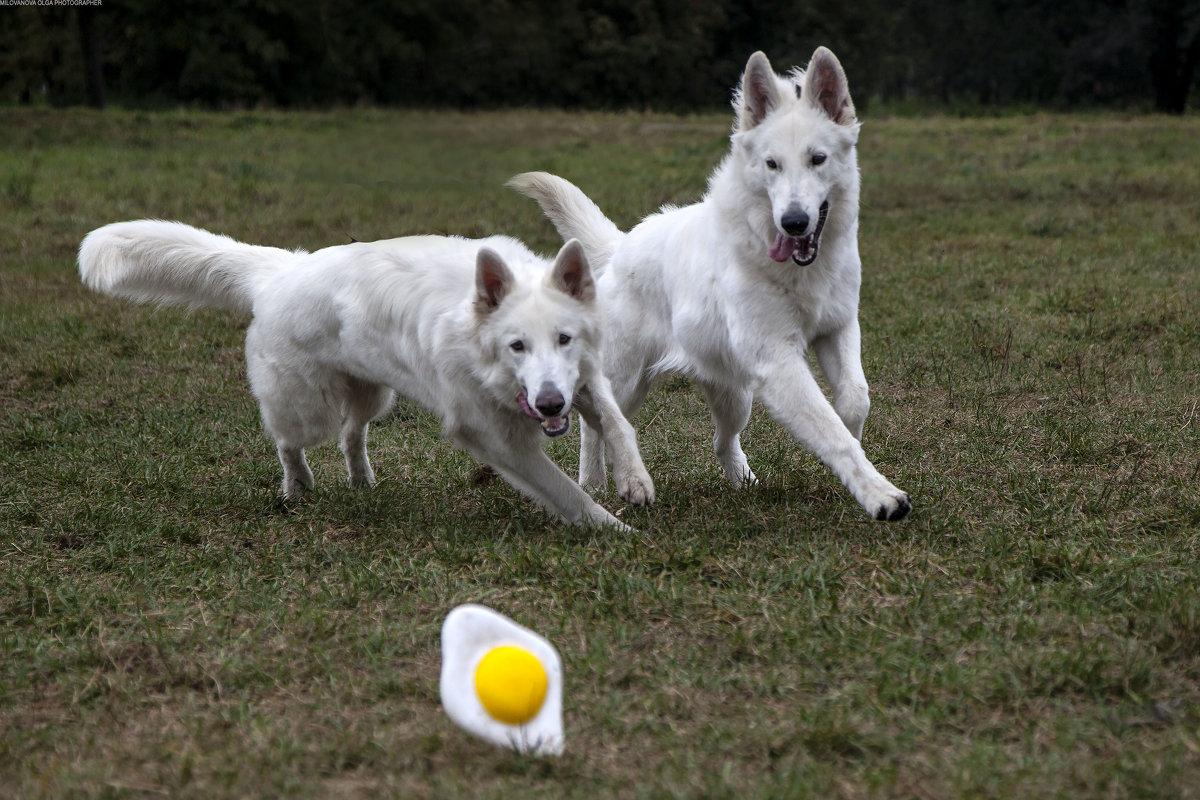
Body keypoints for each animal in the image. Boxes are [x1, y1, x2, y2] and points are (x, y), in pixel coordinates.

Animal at [75, 221, 657, 527]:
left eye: (564, 339)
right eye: (516, 346)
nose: (551, 406)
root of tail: (281, 269)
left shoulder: (582, 376)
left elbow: (616, 421)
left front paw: (634, 479)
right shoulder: (495, 437)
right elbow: (563, 489)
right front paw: (611, 528)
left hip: (375, 393)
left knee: (352, 434)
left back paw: (361, 479)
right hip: (307, 406)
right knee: (290, 440)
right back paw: (298, 486)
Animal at [511, 47, 912, 522]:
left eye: (818, 159)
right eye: (772, 164)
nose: (793, 222)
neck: (798, 271)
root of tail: (621, 245)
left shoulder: (838, 329)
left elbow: (854, 400)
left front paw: (853, 449)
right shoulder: (779, 362)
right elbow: (831, 432)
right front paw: (880, 494)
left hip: (735, 395)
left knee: (722, 441)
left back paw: (745, 482)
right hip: (626, 382)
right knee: (600, 424)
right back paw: (594, 484)